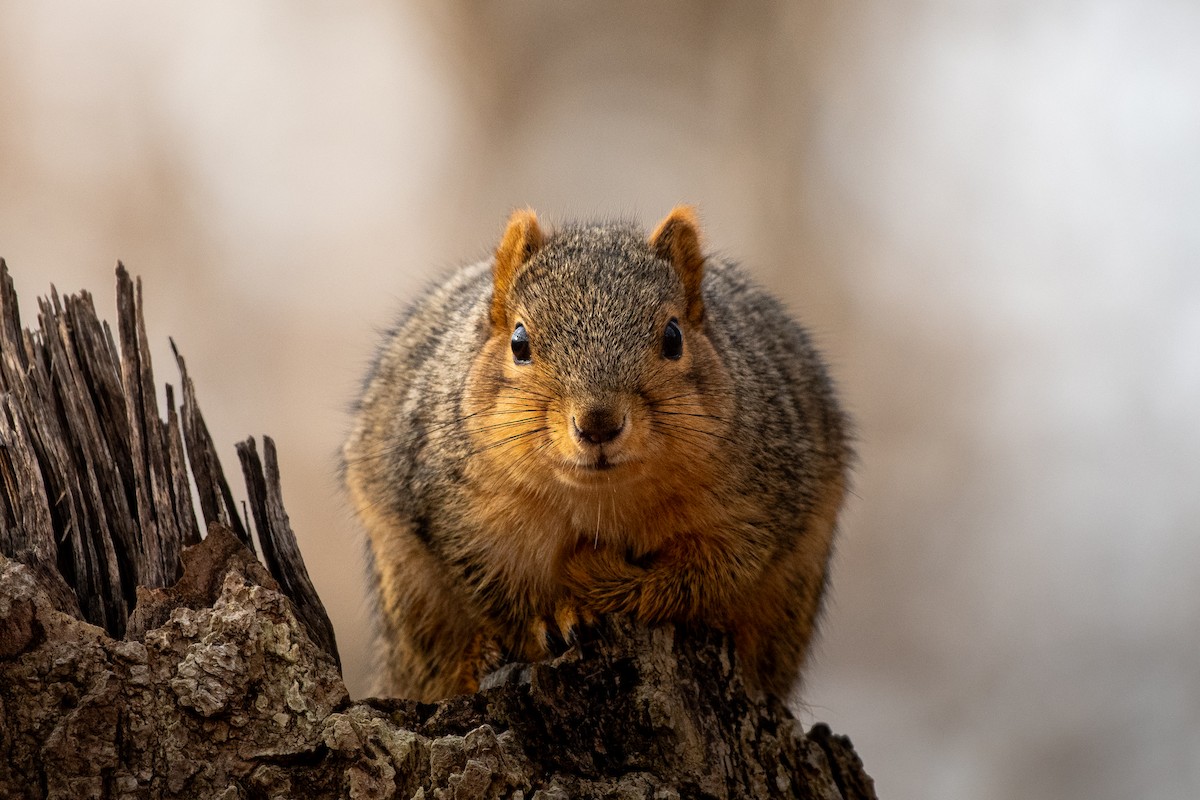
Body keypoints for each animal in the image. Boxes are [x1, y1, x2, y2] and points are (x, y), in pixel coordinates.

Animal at [343, 206, 850, 701]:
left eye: (673, 337)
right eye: (519, 342)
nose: (598, 423)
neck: (601, 497)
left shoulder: (758, 501)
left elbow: (704, 576)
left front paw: (600, 579)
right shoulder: (451, 511)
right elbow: (491, 587)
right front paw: (548, 619)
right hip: (411, 601)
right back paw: (476, 661)